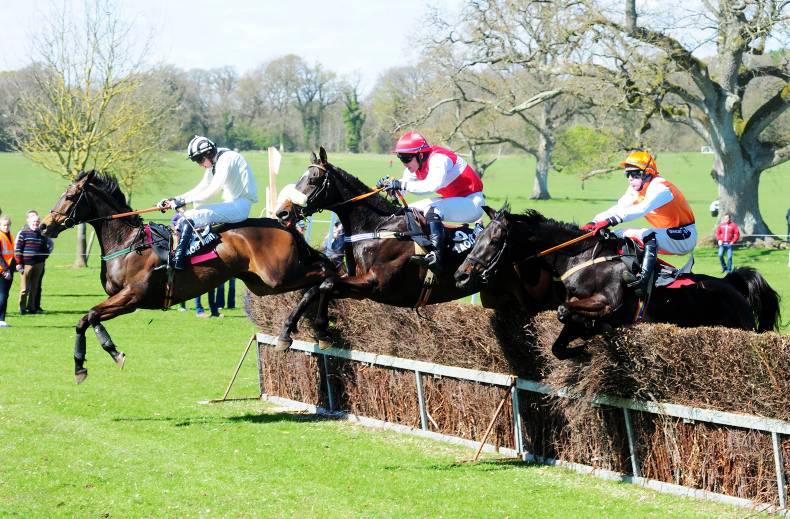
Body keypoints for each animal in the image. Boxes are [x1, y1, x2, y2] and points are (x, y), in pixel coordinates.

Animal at [40, 170, 336, 383]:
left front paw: (97, 359)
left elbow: (88, 316)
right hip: (262, 284)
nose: (43, 226)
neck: (128, 243)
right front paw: (97, 359)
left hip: (277, 276)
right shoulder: (122, 300)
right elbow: (88, 319)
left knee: (325, 274)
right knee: (322, 271)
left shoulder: (132, 297)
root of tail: (283, 224)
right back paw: (313, 328)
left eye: (70, 196)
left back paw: (300, 328)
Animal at [274, 148, 561, 347]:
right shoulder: (356, 284)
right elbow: (318, 286)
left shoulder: (377, 285)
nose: (282, 213)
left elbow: (326, 284)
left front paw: (321, 328)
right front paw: (289, 331)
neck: (378, 225)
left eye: (313, 179)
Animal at [455, 204, 781, 359]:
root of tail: (733, 285)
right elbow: (559, 342)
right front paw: (581, 345)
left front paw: (591, 333)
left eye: (494, 240)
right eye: (477, 236)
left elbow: (564, 310)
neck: (583, 258)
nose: (461, 274)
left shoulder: (608, 302)